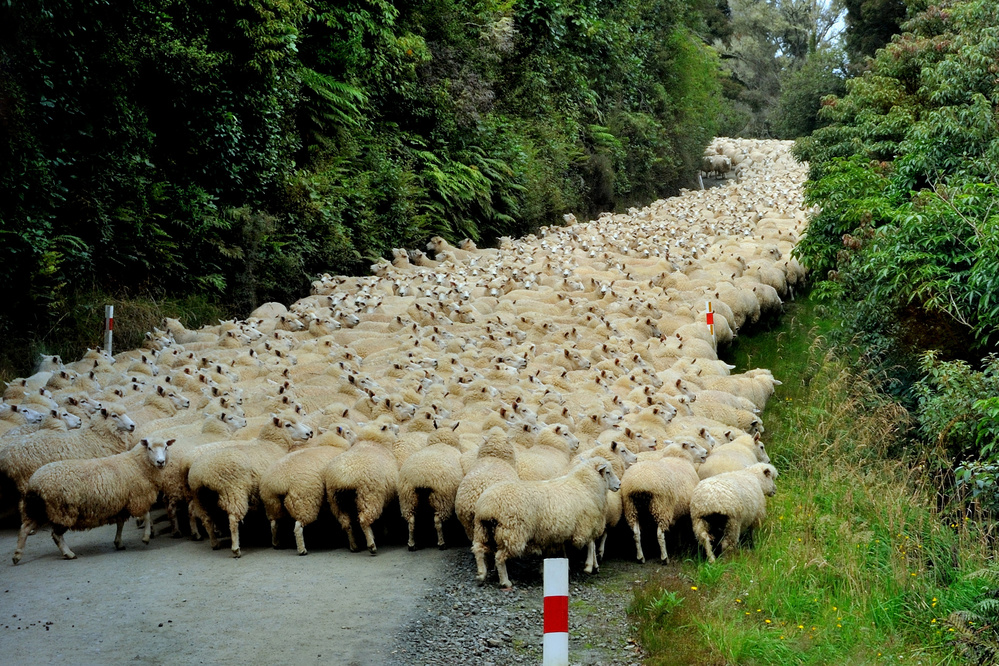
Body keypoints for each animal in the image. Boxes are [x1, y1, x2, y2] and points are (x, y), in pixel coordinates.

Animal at [13, 437, 173, 564]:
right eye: (150, 448)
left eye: (166, 447)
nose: (160, 462)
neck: (137, 463)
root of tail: (33, 483)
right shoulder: (138, 498)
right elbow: (146, 516)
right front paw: (146, 537)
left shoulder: (121, 504)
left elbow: (120, 524)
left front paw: (118, 543)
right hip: (62, 510)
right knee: (56, 535)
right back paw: (69, 554)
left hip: (37, 509)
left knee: (24, 529)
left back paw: (17, 555)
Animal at [187, 413, 314, 557]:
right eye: (288, 425)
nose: (310, 432)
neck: (273, 444)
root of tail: (203, 474)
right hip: (234, 492)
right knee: (233, 519)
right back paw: (236, 549)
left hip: (201, 498)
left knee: (207, 519)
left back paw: (214, 543)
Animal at [472, 456, 620, 588]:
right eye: (608, 472)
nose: (619, 485)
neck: (584, 486)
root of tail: (489, 506)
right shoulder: (584, 525)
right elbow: (591, 543)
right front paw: (590, 566)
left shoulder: (562, 531)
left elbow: (562, 549)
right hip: (512, 532)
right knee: (499, 557)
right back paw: (505, 581)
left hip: (482, 529)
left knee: (479, 549)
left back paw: (481, 574)